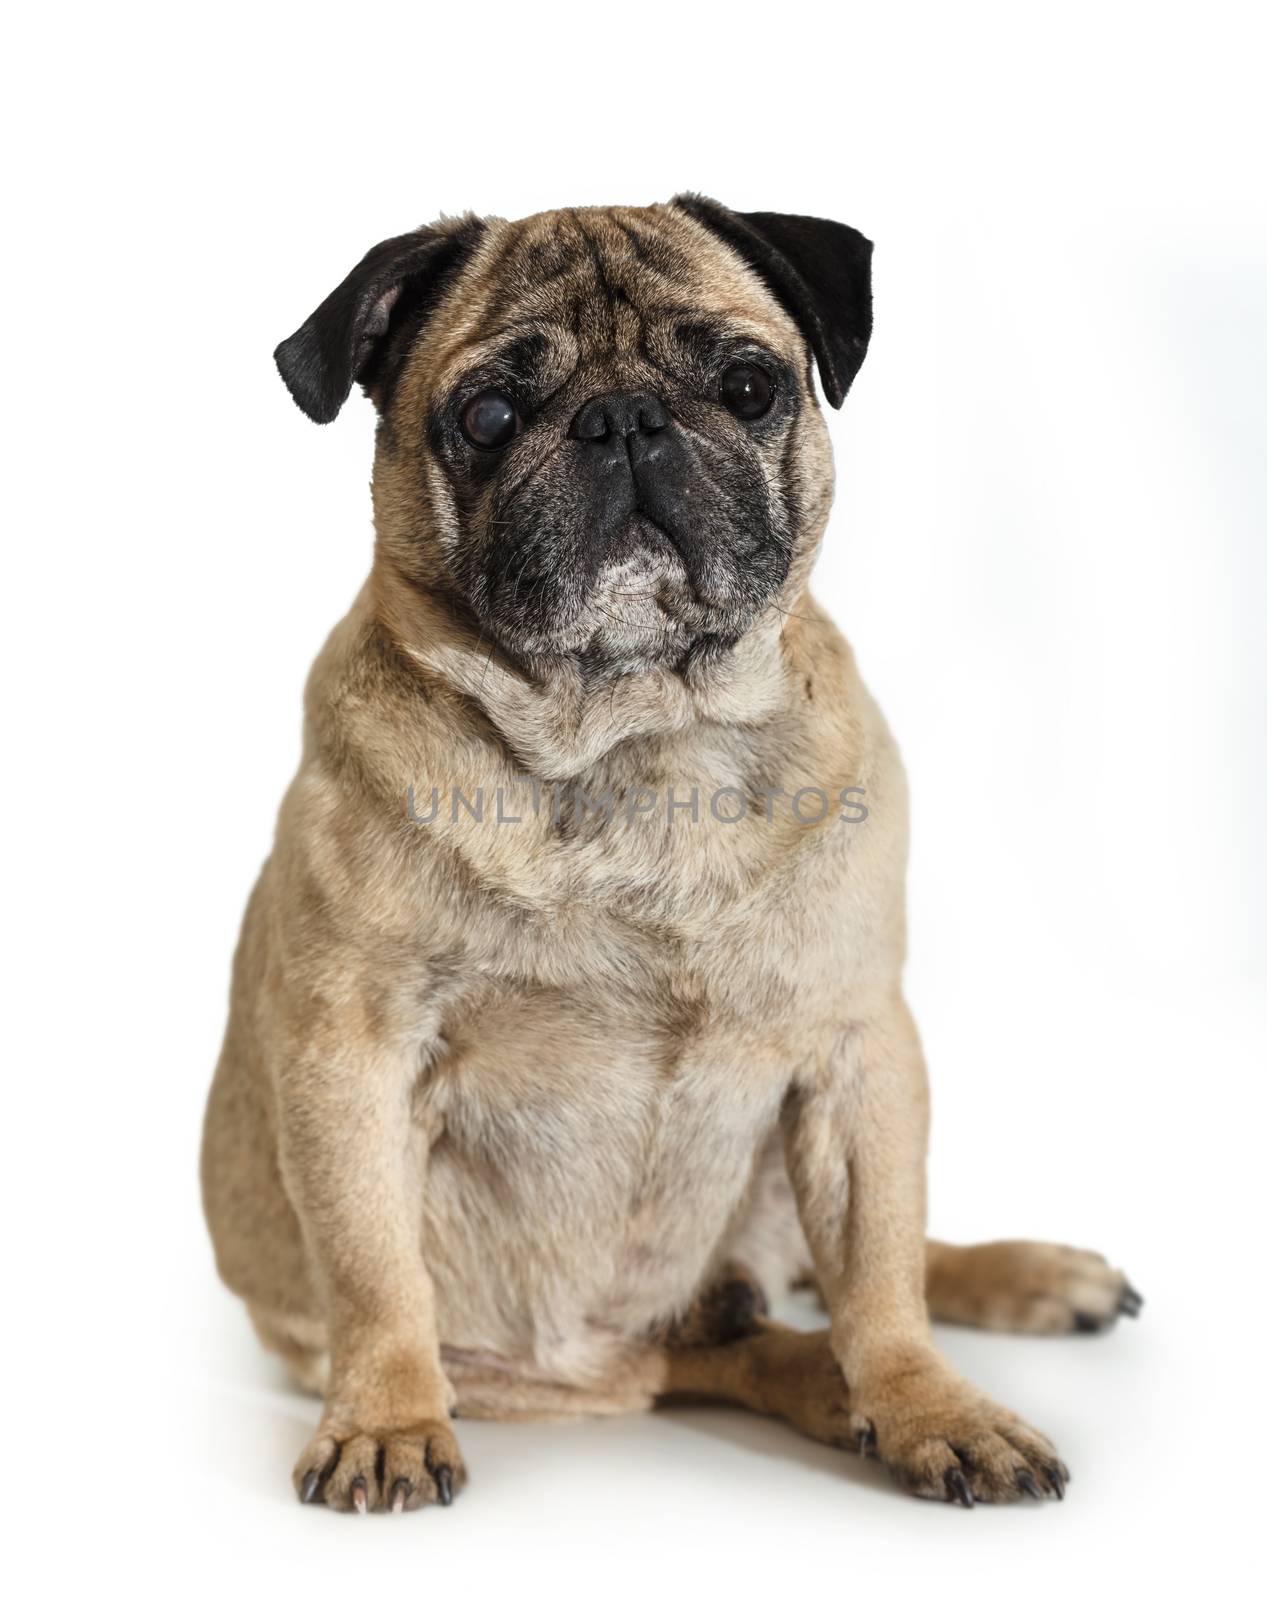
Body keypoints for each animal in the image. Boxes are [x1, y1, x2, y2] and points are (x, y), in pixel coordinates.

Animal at [200, 200, 1139, 1510]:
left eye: (748, 386)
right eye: (486, 417)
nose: (623, 419)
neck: (641, 733)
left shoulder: (859, 1047)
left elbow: (880, 1270)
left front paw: (928, 1406)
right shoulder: (351, 1051)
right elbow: (374, 1268)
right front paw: (384, 1420)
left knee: (859, 1273)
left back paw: (1016, 1285)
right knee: (742, 1349)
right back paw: (811, 1373)